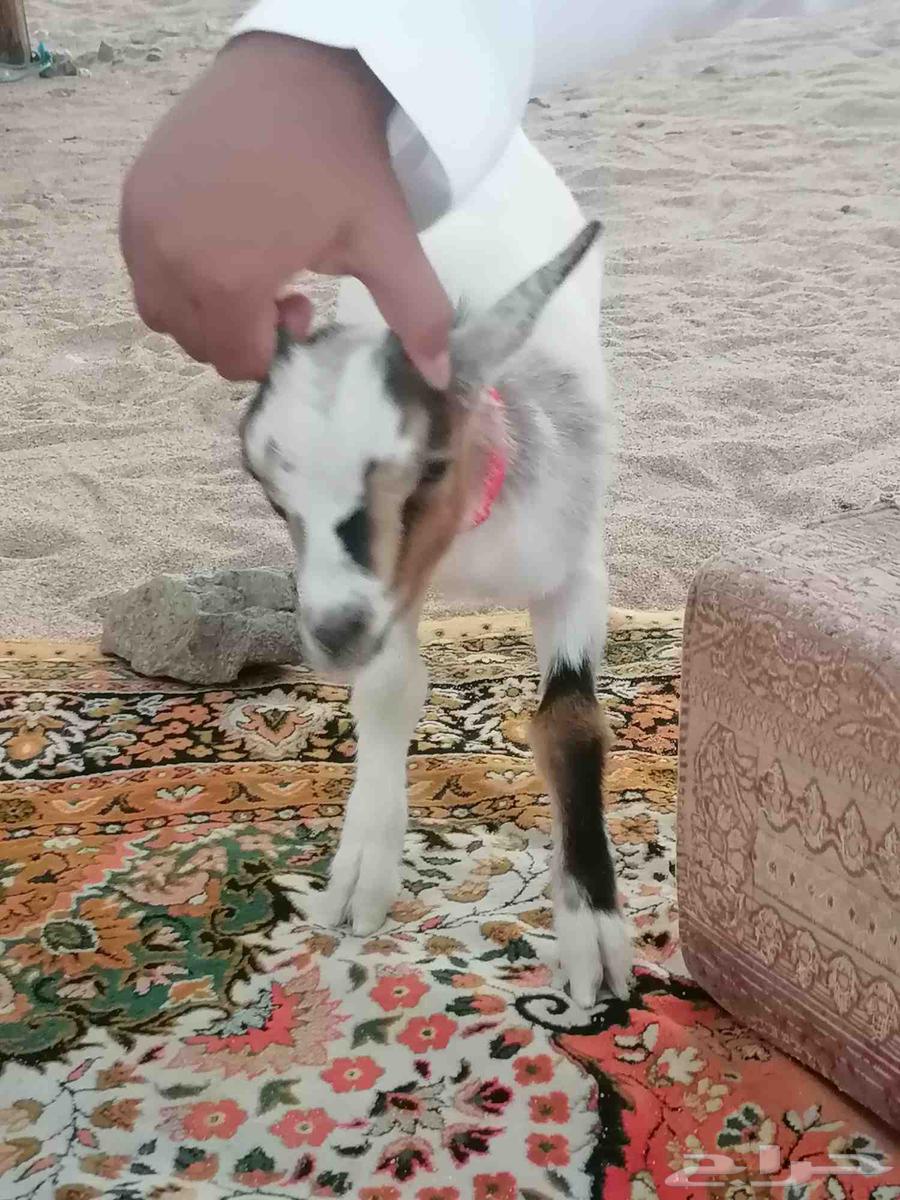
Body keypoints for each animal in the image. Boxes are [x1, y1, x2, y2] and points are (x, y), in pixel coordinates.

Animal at [241, 130, 631, 1004]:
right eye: (271, 493)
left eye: (431, 466)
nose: (334, 633)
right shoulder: (394, 592)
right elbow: (390, 692)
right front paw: (362, 872)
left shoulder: (575, 566)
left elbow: (571, 722)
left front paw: (592, 928)